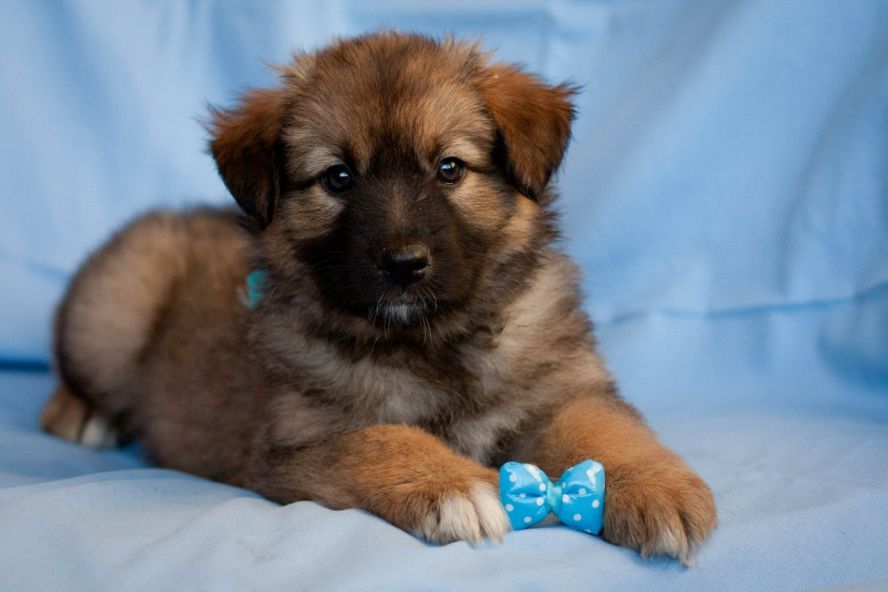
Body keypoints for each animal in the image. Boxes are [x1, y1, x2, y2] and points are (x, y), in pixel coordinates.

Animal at [45, 33, 720, 564]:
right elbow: (384, 439)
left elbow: (606, 429)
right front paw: (454, 486)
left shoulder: (560, 389)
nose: (403, 264)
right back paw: (79, 412)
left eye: (449, 168)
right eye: (338, 177)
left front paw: (657, 488)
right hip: (114, 306)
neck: (433, 341)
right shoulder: (300, 443)